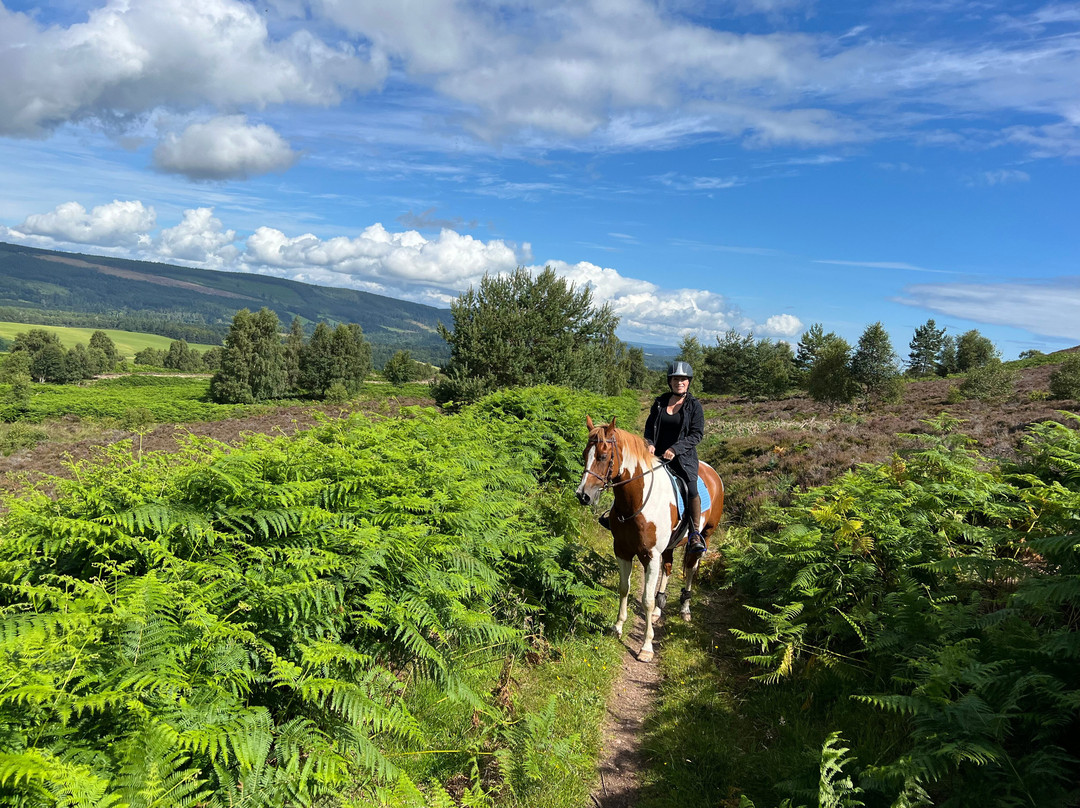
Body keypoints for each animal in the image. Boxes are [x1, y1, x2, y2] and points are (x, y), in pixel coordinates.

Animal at [574, 416, 725, 661]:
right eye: (584, 454)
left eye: (603, 456)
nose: (583, 495)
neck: (637, 501)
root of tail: (712, 472)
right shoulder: (622, 551)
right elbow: (624, 588)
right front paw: (617, 627)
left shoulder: (651, 556)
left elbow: (646, 599)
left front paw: (646, 646)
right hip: (670, 545)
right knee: (669, 567)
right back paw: (659, 609)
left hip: (706, 535)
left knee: (691, 568)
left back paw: (685, 609)